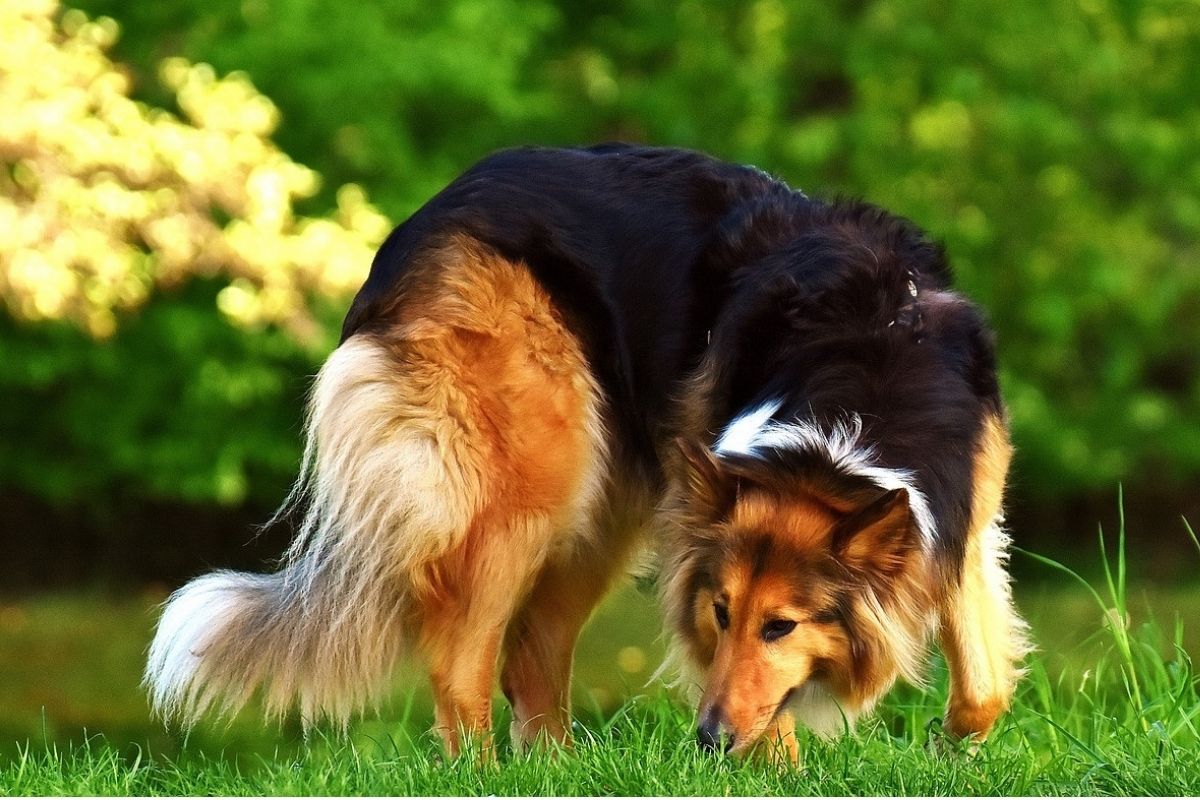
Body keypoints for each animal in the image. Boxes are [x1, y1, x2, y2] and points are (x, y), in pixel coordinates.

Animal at [145, 143, 1032, 762]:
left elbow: (984, 687)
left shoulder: (959, 520)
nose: (707, 739)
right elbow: (767, 707)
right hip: (532, 479)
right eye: (721, 612)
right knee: (463, 662)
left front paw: (948, 750)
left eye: (782, 625)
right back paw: (486, 776)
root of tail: (414, 227)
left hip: (609, 494)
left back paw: (560, 768)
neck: (864, 360)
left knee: (531, 652)